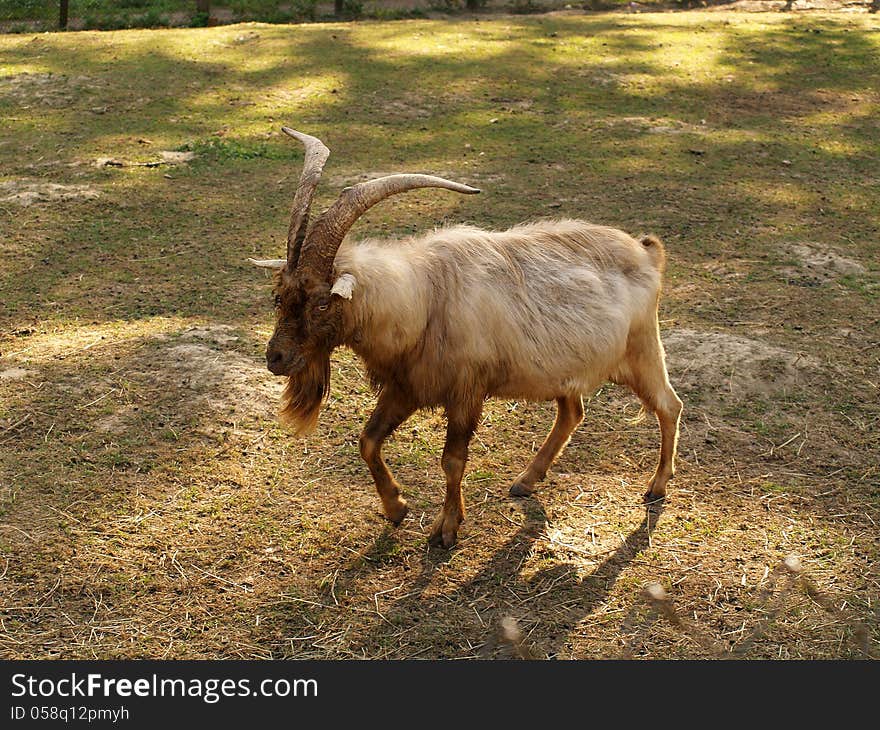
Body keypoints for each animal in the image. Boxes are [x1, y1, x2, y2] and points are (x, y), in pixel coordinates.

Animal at [251, 129, 684, 544]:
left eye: (323, 303)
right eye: (280, 295)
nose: (276, 357)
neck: (424, 300)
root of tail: (647, 252)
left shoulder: (466, 394)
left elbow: (452, 461)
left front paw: (445, 528)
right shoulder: (406, 387)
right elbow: (368, 441)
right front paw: (397, 508)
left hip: (642, 350)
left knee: (669, 405)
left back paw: (656, 487)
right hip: (569, 370)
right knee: (573, 412)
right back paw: (526, 480)